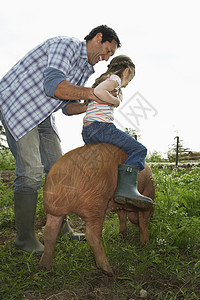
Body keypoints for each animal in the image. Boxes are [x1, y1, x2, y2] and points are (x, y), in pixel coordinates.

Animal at [39, 143, 155, 276]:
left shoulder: (119, 205)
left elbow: (122, 217)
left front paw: (123, 235)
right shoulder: (147, 194)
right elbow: (143, 221)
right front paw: (145, 245)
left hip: (54, 209)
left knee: (49, 232)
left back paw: (44, 266)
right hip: (96, 204)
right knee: (92, 235)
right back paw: (108, 270)